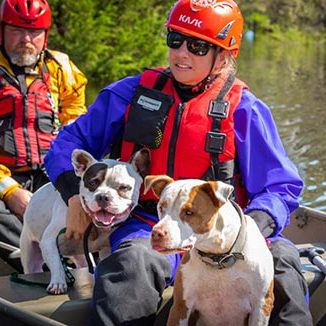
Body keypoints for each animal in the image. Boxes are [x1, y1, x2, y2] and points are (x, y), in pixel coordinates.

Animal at [19, 149, 149, 294]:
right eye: (92, 183)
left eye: (124, 187)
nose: (103, 196)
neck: (94, 224)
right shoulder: (49, 240)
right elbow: (56, 263)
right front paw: (58, 282)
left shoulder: (106, 250)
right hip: (30, 257)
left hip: (82, 257)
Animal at [144, 176, 274, 326]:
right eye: (161, 207)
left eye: (189, 212)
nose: (156, 233)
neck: (218, 256)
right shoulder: (181, 306)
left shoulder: (262, 305)